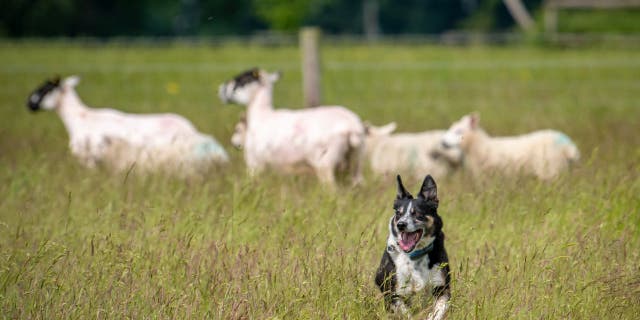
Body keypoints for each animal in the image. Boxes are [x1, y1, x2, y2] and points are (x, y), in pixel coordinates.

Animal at [219, 69, 364, 186]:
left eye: (240, 80)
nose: (221, 90)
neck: (261, 114)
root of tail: (352, 125)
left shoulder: (255, 164)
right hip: (354, 164)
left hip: (325, 165)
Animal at [376, 175, 450, 320]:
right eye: (398, 214)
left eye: (417, 213)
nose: (400, 224)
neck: (415, 255)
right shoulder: (394, 292)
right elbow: (405, 312)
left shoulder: (442, 288)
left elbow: (438, 311)